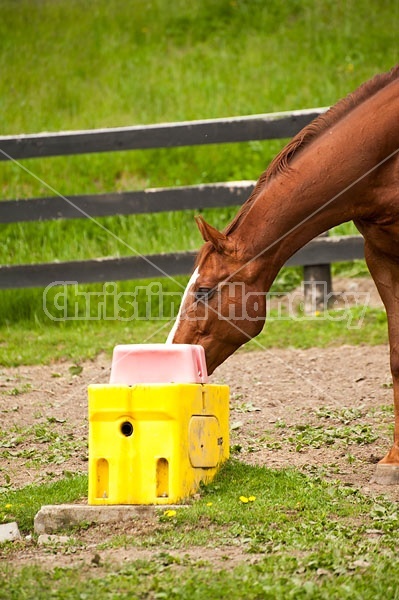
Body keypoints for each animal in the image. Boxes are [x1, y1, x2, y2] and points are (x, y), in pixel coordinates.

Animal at [168, 65, 399, 482]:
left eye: (204, 290)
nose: (174, 352)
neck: (383, 157)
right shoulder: (380, 255)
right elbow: (396, 356)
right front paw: (394, 459)